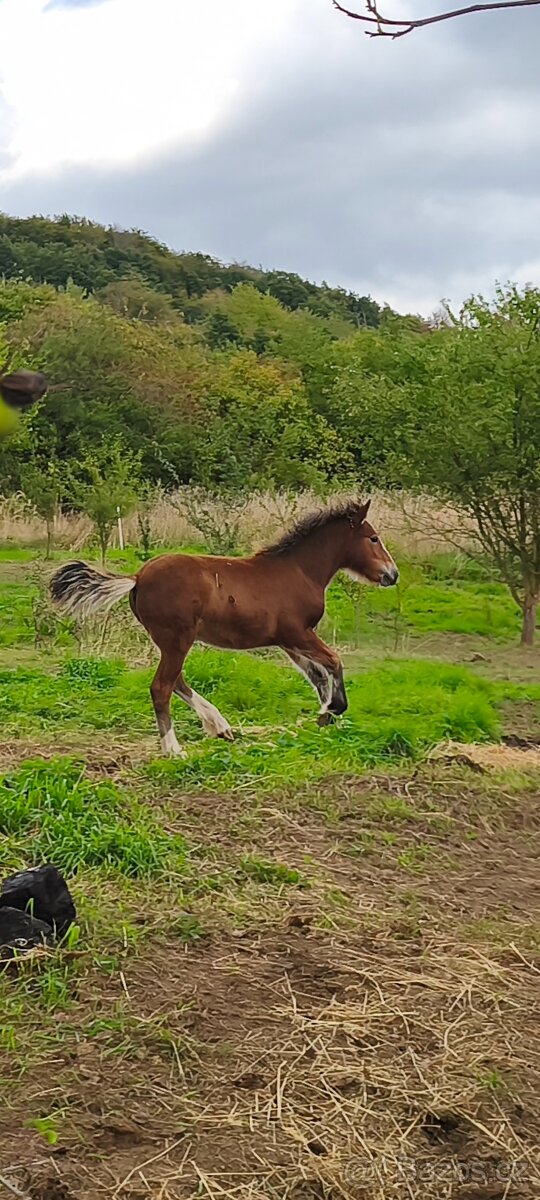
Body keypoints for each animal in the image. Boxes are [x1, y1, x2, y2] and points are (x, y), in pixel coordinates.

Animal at [50, 498, 399, 757]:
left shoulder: (288, 641)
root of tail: (136, 578)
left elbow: (317, 674)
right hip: (178, 639)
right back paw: (174, 748)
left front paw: (325, 714)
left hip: (170, 641)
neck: (299, 571)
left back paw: (220, 726)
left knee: (176, 681)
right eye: (373, 538)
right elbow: (334, 661)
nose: (392, 574)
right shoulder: (297, 633)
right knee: (162, 686)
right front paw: (335, 709)